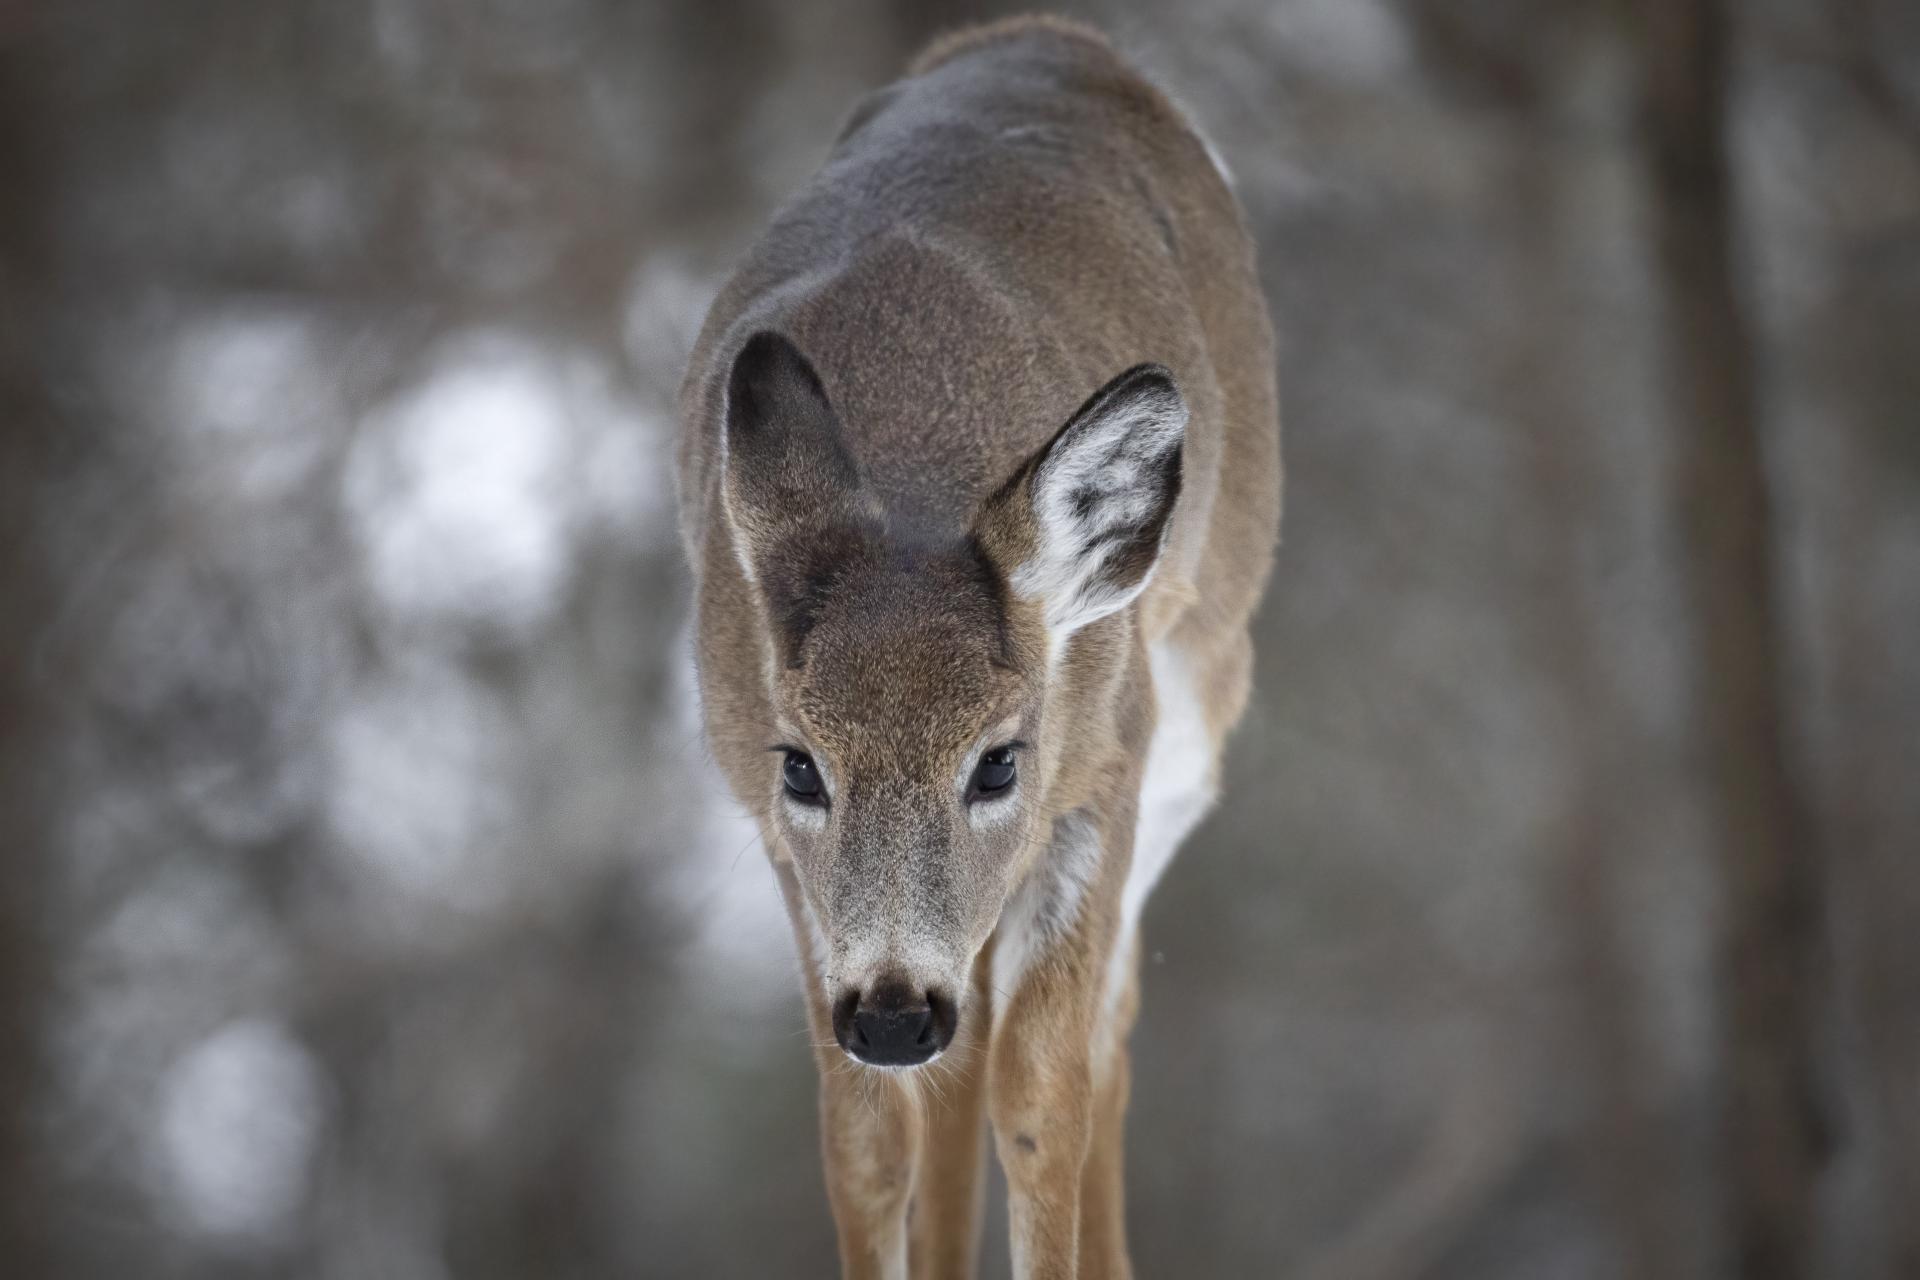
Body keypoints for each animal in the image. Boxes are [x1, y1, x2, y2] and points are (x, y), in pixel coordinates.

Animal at [675, 16, 1280, 1279]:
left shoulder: (1105, 764)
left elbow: (1043, 1092)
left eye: (999, 759)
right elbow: (865, 1135)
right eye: (801, 763)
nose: (893, 1009)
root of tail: (1047, 33)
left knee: (1102, 1037)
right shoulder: (765, 815)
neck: (912, 472)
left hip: (1197, 704)